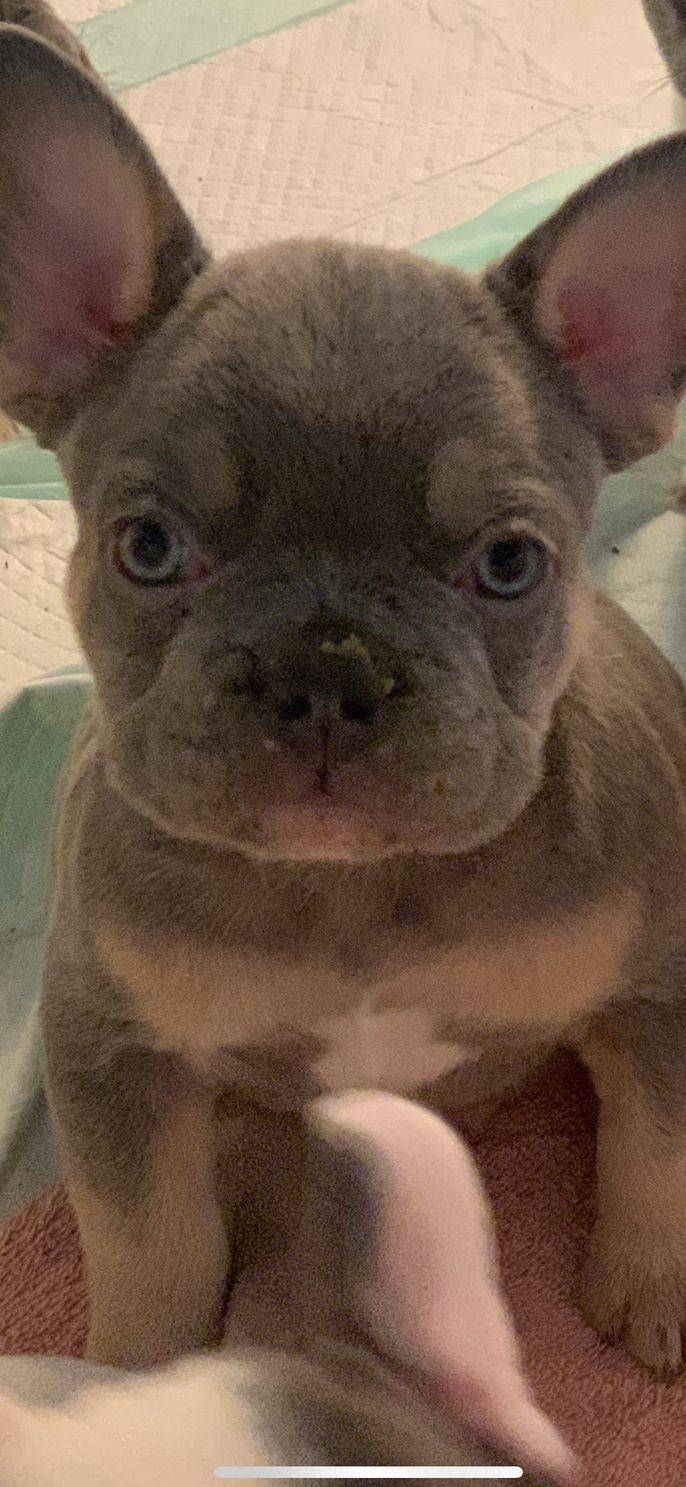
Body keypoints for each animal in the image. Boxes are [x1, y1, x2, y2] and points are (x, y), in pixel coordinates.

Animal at [4, 0, 686, 1381]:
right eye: (146, 547)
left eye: (509, 563)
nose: (327, 668)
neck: (351, 891)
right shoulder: (113, 1050)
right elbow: (149, 1243)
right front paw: (136, 1378)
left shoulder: (655, 981)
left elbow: (657, 1133)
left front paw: (651, 1279)